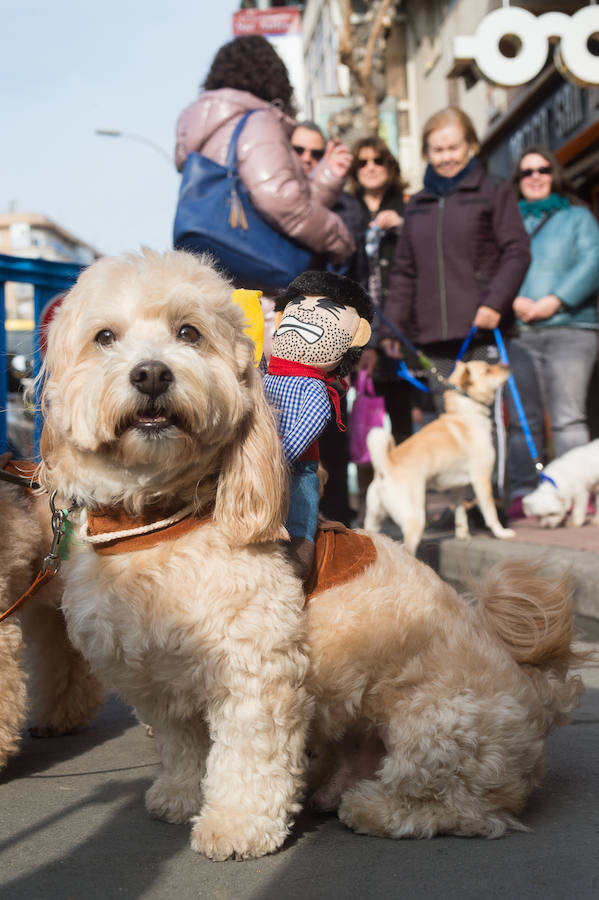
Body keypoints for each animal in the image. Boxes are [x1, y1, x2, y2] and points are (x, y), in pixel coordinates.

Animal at [36, 251, 584, 856]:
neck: (160, 520)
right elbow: (183, 747)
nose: (152, 373)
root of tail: (537, 692)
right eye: (104, 337)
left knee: (465, 806)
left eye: (189, 333)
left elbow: (247, 758)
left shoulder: (255, 670)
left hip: (437, 720)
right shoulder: (158, 676)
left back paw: (374, 806)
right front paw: (180, 796)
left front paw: (236, 824)